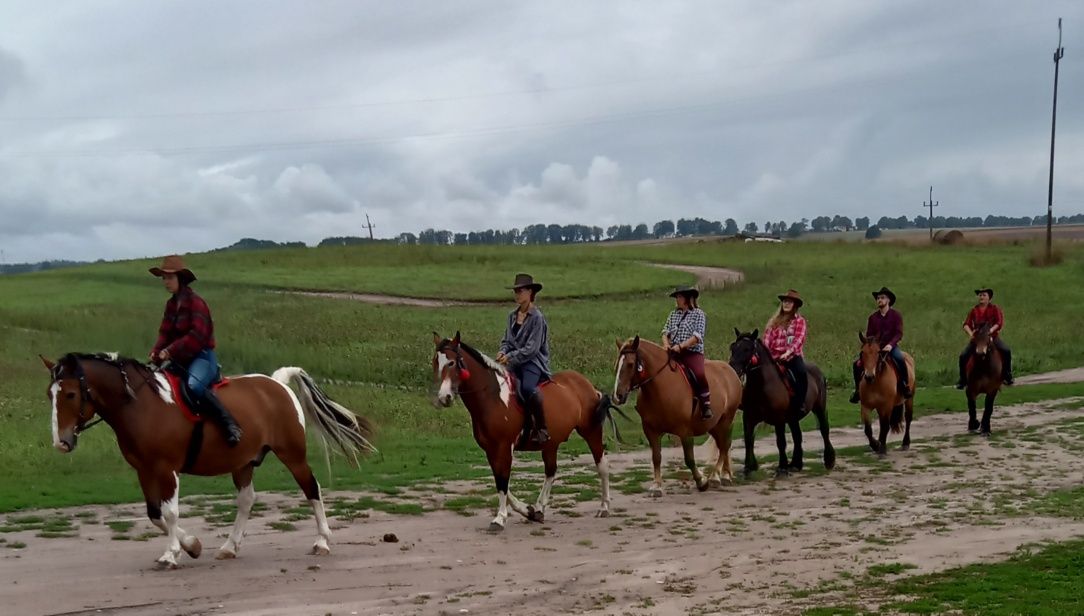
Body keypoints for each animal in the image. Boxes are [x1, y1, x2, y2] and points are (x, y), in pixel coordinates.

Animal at [42, 351, 375, 568]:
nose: (61, 441)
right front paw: (191, 546)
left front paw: (171, 554)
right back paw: (229, 547)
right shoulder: (144, 470)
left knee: (311, 489)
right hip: (243, 463)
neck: (142, 406)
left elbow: (170, 513)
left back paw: (322, 541)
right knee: (246, 500)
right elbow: (154, 514)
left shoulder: (166, 469)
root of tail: (276, 383)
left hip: (293, 455)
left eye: (70, 394)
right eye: (50, 394)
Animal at [427, 331, 624, 529]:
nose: (444, 397)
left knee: (601, 465)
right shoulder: (490, 449)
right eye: (436, 362)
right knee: (550, 471)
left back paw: (604, 507)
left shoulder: (504, 447)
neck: (492, 397)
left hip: (591, 432)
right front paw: (527, 510)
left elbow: (502, 480)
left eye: (452, 362)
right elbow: (500, 481)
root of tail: (587, 385)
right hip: (551, 443)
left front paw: (499, 518)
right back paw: (539, 509)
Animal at [611, 336, 745, 496]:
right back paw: (724, 475)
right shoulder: (651, 430)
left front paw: (701, 481)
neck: (662, 388)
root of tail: (730, 371)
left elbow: (689, 459)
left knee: (725, 445)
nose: (617, 396)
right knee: (723, 445)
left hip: (726, 419)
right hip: (714, 425)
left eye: (631, 364)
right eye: (617, 365)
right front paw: (656, 486)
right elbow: (656, 457)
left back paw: (716, 477)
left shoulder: (685, 431)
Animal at [728, 329, 836, 479]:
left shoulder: (778, 419)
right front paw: (749, 468)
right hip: (792, 418)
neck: (762, 386)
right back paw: (796, 464)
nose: (732, 369)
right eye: (733, 348)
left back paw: (829, 460)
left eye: (747, 349)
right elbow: (749, 440)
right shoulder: (748, 417)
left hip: (819, 408)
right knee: (797, 436)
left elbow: (781, 442)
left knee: (824, 430)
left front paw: (782, 468)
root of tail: (817, 371)